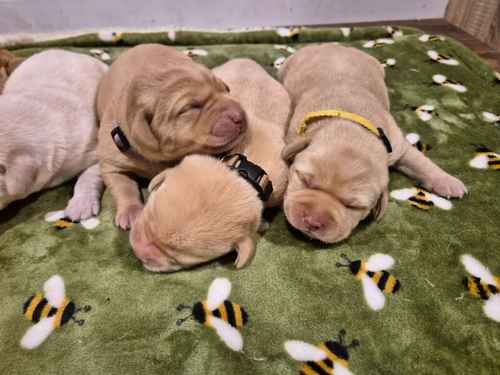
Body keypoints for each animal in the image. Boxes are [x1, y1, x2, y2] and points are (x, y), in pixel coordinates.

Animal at [96, 44, 247, 232]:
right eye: (192, 107)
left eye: (226, 88)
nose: (241, 115)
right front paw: (132, 211)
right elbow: (123, 185)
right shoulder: (112, 161)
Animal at [280, 44, 466, 244]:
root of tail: (335, 45)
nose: (312, 222)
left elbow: (420, 162)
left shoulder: (397, 145)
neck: (353, 128)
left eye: (353, 206)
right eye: (304, 181)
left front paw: (448, 181)